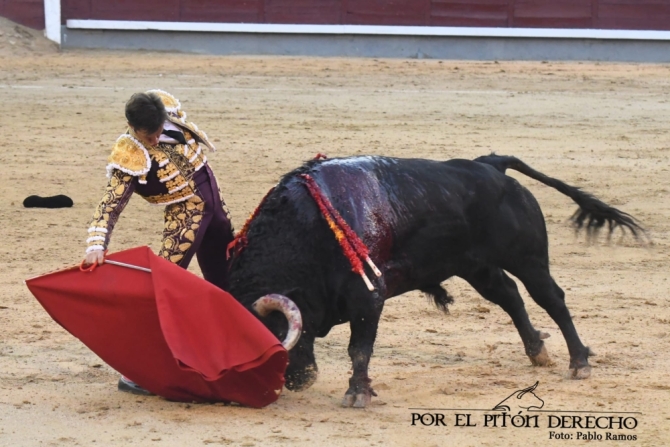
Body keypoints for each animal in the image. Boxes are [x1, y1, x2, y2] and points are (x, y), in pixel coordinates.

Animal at [228, 155, 644, 410]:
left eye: (275, 334)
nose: (294, 381)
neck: (306, 231)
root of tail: (490, 165)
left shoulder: (368, 296)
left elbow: (359, 348)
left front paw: (357, 394)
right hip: (477, 267)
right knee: (509, 296)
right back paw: (537, 352)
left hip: (529, 260)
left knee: (552, 299)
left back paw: (579, 363)